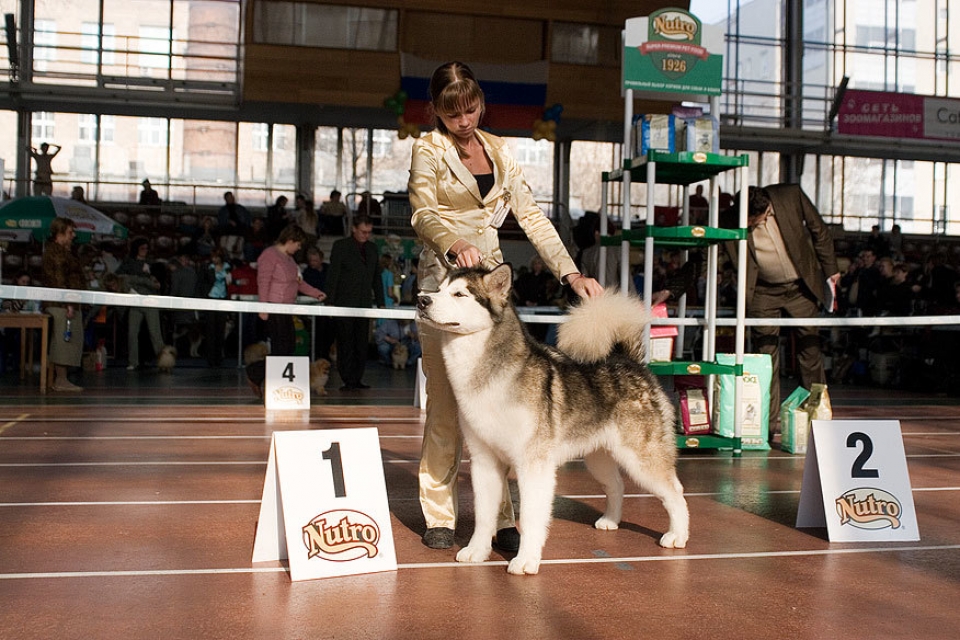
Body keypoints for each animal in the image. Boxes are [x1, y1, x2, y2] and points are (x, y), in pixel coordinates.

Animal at [416, 264, 688, 576]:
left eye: (459, 294)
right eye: (438, 289)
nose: (422, 300)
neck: (490, 376)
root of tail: (630, 362)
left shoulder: (533, 464)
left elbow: (531, 517)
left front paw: (525, 560)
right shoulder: (484, 461)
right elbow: (484, 515)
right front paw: (477, 551)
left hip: (640, 458)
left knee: (675, 492)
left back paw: (678, 535)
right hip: (599, 457)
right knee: (617, 485)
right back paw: (610, 520)